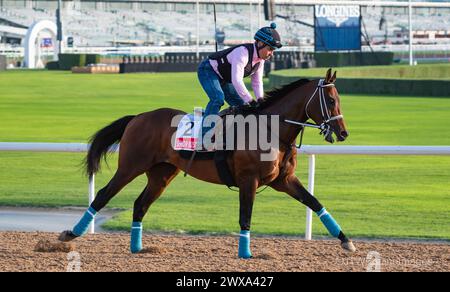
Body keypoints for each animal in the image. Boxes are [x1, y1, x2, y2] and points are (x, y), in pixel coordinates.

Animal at [59, 68, 356, 258]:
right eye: (331, 100)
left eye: (339, 99)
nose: (343, 133)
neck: (271, 130)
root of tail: (138, 116)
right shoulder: (249, 180)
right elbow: (245, 216)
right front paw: (245, 253)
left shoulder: (283, 180)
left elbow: (315, 203)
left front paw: (347, 241)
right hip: (130, 166)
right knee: (103, 194)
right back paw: (71, 234)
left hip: (162, 174)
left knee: (140, 204)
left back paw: (137, 247)